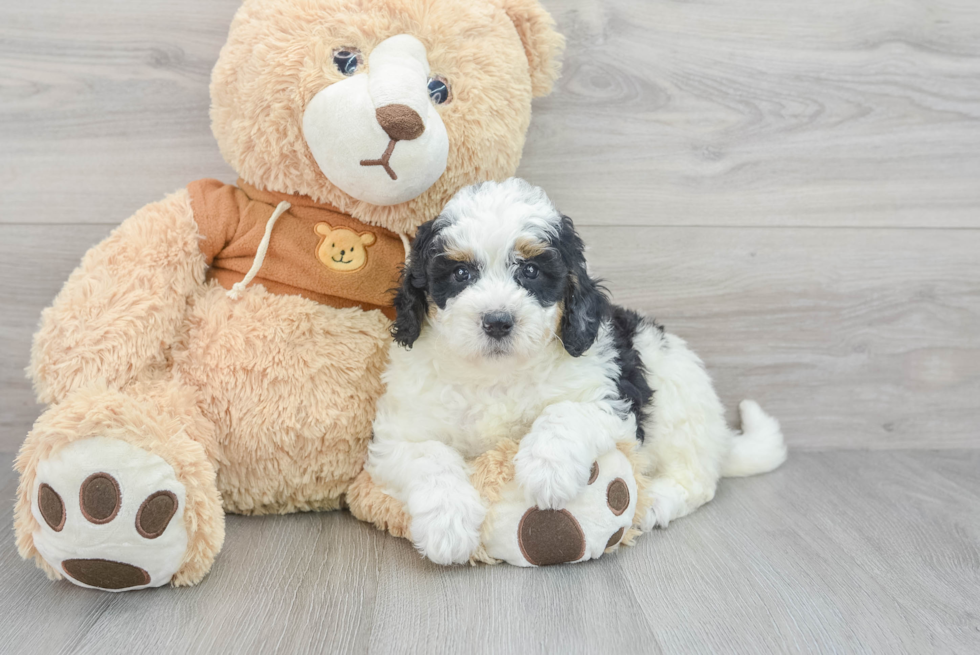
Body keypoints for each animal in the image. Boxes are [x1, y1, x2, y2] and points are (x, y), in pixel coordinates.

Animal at [364, 178, 784, 564]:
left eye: (531, 270)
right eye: (461, 274)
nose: (498, 321)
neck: (496, 374)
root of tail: (721, 437)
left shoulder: (611, 400)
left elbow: (564, 411)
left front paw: (546, 469)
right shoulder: (398, 434)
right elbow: (429, 456)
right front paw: (447, 526)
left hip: (679, 408)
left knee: (697, 480)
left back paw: (658, 501)